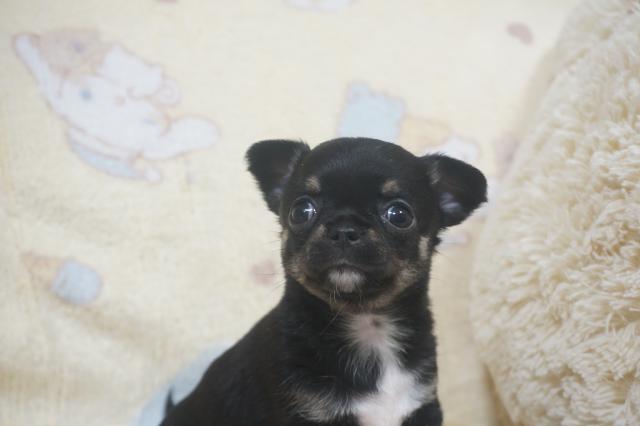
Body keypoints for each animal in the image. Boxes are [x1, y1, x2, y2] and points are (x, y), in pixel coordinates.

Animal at [161, 137, 487, 426]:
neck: (368, 323)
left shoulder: (421, 404)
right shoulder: (309, 411)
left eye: (399, 215)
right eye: (301, 211)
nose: (344, 229)